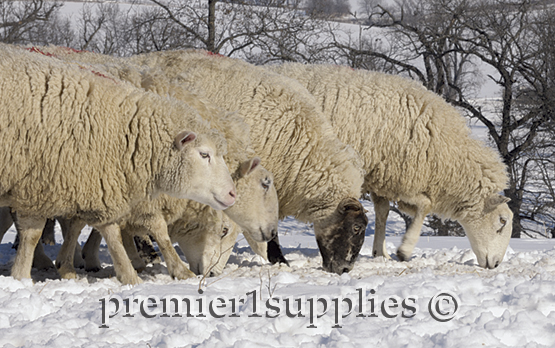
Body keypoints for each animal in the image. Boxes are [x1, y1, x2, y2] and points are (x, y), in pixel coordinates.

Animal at [268, 62, 516, 270]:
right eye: (502, 222)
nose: (495, 265)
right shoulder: (401, 176)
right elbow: (425, 205)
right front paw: (404, 250)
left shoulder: (384, 176)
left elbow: (384, 212)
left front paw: (381, 252)